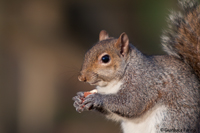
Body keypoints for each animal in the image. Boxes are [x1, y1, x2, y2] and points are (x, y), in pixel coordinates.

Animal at [72, 0, 200, 132]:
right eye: (87, 53)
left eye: (105, 59)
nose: (81, 78)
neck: (111, 84)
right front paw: (78, 99)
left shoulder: (141, 83)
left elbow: (131, 103)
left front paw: (97, 98)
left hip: (170, 121)